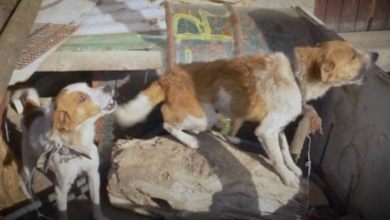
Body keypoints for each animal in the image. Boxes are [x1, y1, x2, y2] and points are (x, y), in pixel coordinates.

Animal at [12, 82, 116, 220]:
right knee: (23, 184)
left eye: (88, 86)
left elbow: (96, 202)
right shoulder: (60, 188)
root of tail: (32, 112)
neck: (77, 147)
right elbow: (62, 212)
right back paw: (33, 201)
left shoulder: (93, 174)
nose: (108, 86)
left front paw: (99, 216)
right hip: (28, 166)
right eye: (82, 98)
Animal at [113, 40, 378, 186]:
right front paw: (286, 177)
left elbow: (286, 151)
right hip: (205, 116)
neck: (296, 78)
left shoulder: (278, 129)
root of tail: (168, 76)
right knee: (168, 121)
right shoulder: (266, 131)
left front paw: (292, 169)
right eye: (353, 55)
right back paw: (190, 140)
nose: (376, 54)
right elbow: (277, 157)